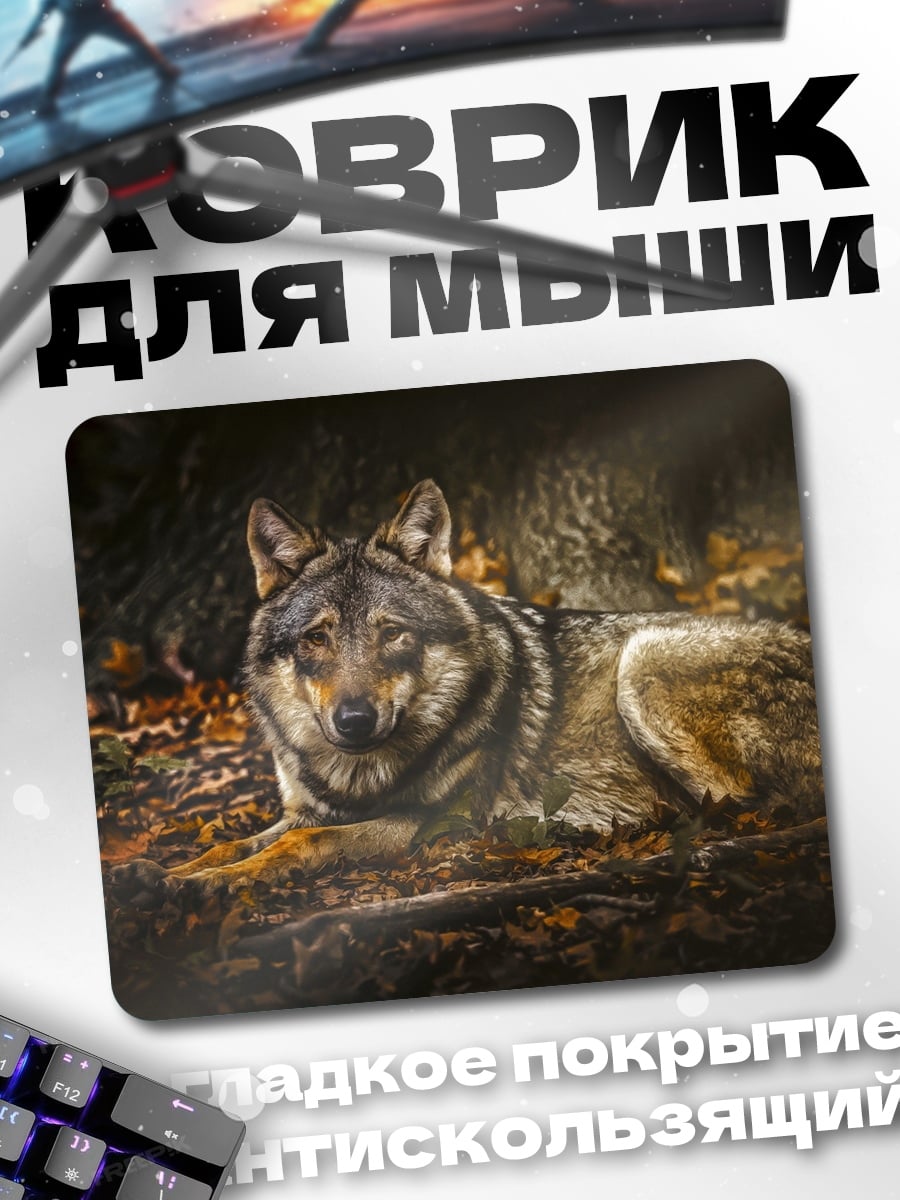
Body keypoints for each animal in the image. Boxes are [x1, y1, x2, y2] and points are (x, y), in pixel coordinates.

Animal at [121, 480, 823, 895]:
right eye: (317, 638)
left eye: (392, 633)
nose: (355, 720)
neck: (355, 778)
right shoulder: (305, 806)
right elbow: (238, 841)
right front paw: (157, 873)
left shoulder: (431, 824)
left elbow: (305, 842)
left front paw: (213, 883)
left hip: (643, 662)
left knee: (751, 803)